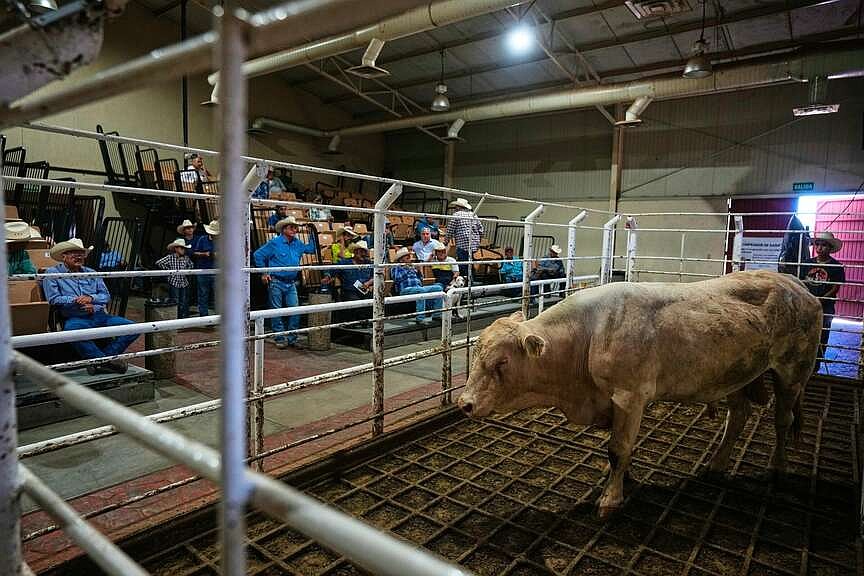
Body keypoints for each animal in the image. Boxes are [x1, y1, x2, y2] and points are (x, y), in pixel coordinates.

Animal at [457, 270, 822, 516]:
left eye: (501, 361)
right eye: (475, 354)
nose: (464, 403)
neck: (588, 335)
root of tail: (796, 284)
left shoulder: (630, 396)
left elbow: (618, 449)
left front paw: (610, 498)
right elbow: (620, 450)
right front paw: (622, 479)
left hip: (792, 372)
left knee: (782, 420)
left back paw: (778, 468)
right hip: (735, 375)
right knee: (739, 415)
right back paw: (717, 464)